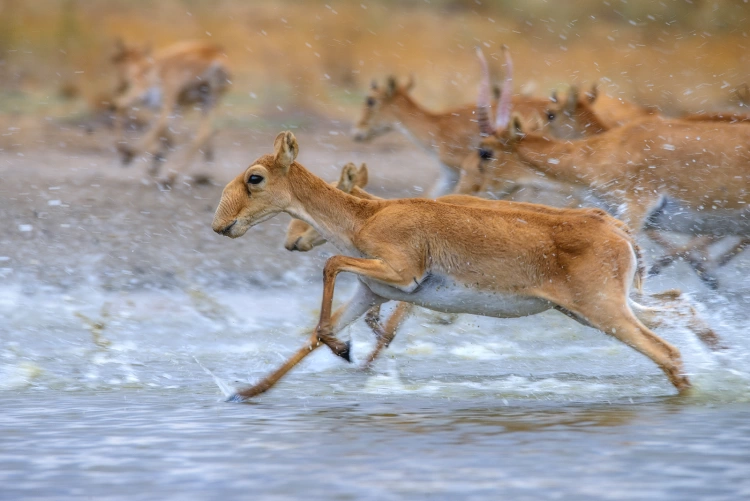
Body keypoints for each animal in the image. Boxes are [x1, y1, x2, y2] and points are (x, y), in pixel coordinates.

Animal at [110, 38, 231, 184]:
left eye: (115, 59)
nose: (119, 86)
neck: (142, 69)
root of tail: (214, 54)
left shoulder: (141, 94)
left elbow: (120, 106)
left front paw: (121, 148)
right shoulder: (179, 109)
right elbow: (168, 135)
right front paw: (156, 160)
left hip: (171, 94)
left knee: (162, 123)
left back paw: (131, 154)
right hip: (207, 103)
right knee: (203, 133)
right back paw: (171, 175)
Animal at [210, 130, 724, 398]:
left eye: (254, 178)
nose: (220, 225)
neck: (367, 215)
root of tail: (618, 230)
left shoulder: (401, 275)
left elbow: (332, 263)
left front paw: (344, 349)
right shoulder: (373, 290)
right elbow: (313, 337)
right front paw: (248, 391)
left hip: (604, 311)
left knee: (667, 352)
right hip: (596, 309)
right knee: (681, 307)